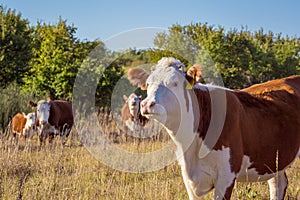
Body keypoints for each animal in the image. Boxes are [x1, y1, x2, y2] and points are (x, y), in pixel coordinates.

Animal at [128, 56, 300, 200]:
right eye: (148, 84)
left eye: (174, 83)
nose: (147, 104)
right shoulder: (188, 177)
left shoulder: (226, 176)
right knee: (278, 184)